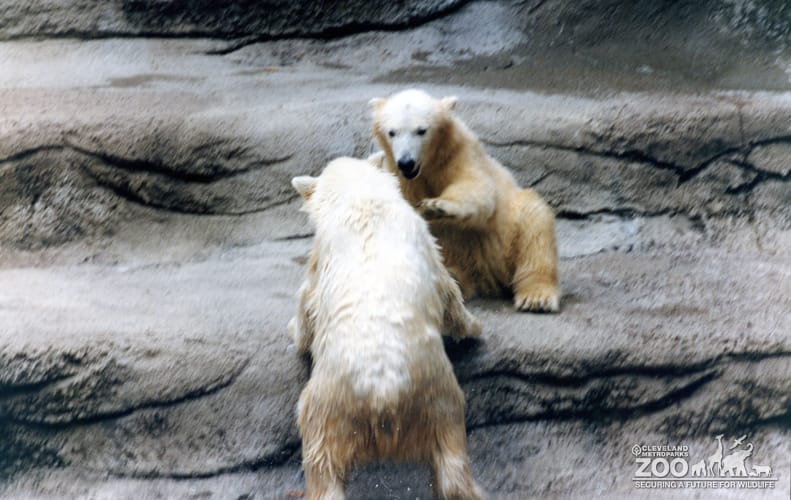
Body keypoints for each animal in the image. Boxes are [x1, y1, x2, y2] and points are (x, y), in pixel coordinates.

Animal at [289, 156, 483, 500]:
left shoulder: (322, 252)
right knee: (452, 464)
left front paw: (295, 335)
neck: (362, 199)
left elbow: (307, 299)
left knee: (321, 462)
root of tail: (384, 395)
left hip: (328, 406)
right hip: (439, 402)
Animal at [368, 88, 560, 312]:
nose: (406, 162)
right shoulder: (398, 176)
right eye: (392, 132)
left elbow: (476, 187)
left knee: (534, 224)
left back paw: (536, 297)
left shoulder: (459, 155)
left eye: (421, 131)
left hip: (508, 231)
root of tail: (486, 274)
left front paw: (436, 206)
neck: (428, 166)